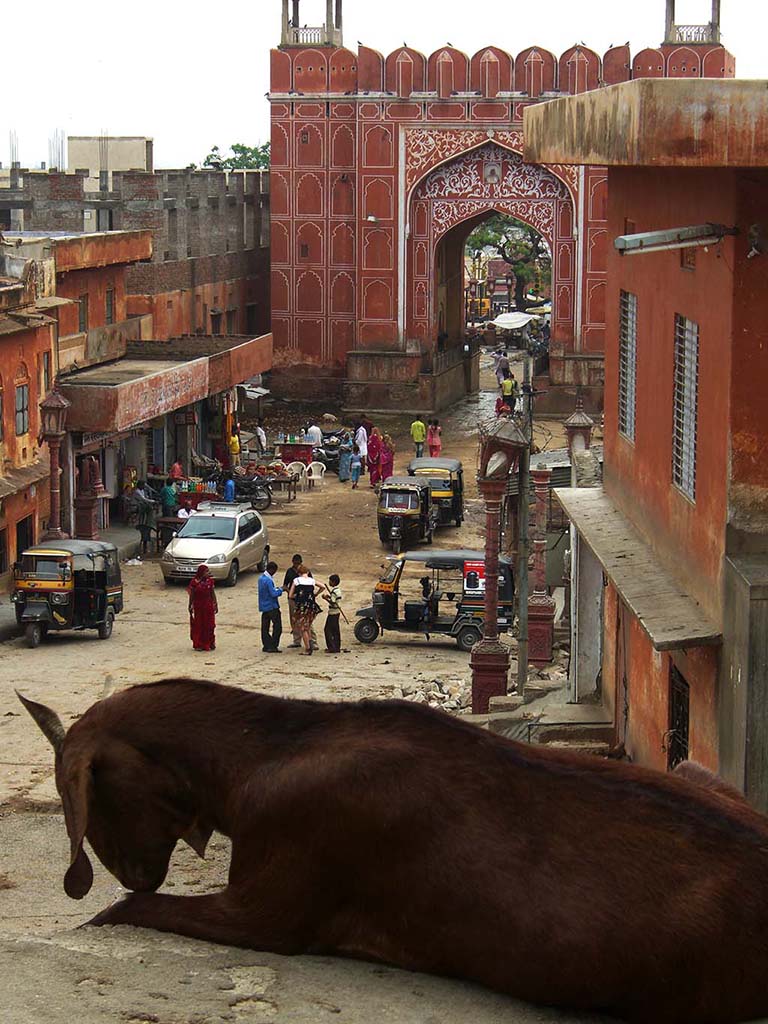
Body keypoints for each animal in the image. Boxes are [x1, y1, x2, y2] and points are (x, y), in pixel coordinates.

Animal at [18, 679, 768, 1024]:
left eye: (87, 793)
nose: (131, 869)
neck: (257, 757)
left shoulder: (272, 908)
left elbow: (120, 913)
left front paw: (109, 904)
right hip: (699, 771)